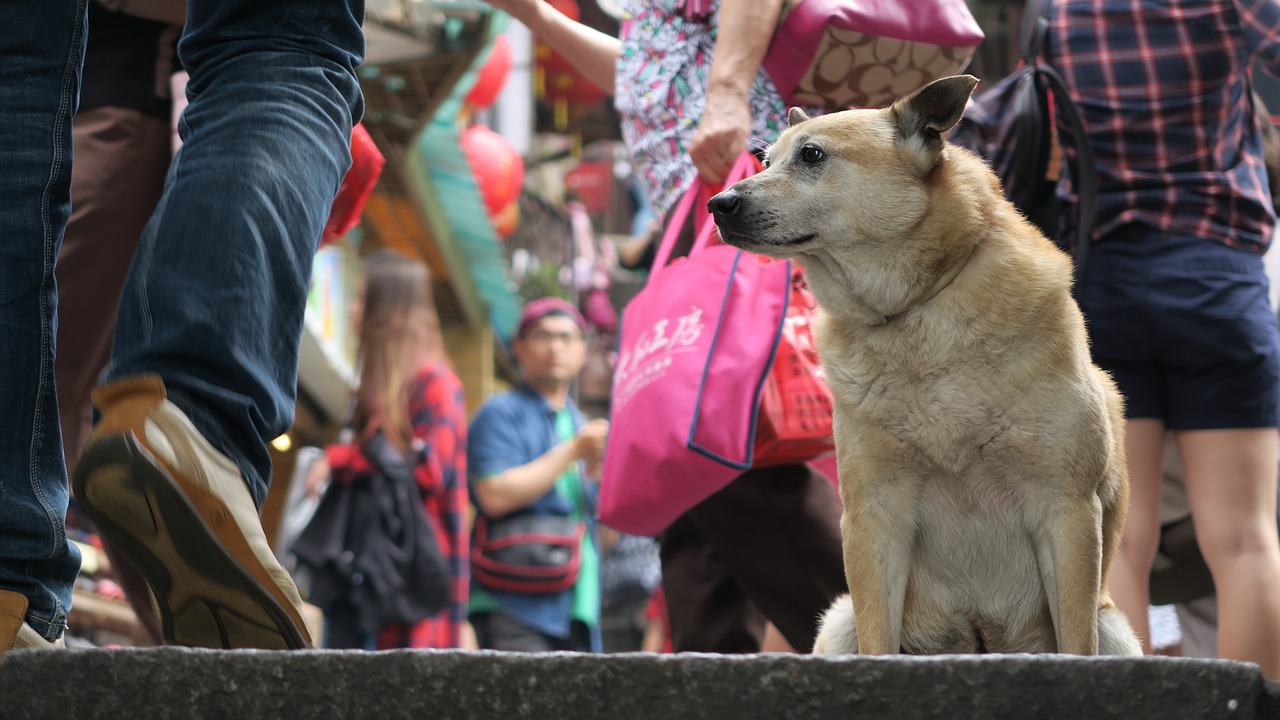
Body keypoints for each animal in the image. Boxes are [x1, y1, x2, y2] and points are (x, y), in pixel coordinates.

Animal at [711, 75, 1141, 653]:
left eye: (812, 155)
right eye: (765, 160)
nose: (717, 203)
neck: (915, 310)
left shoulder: (1066, 508)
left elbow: (1076, 642)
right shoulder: (872, 515)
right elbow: (878, 640)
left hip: (1113, 624)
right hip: (839, 620)